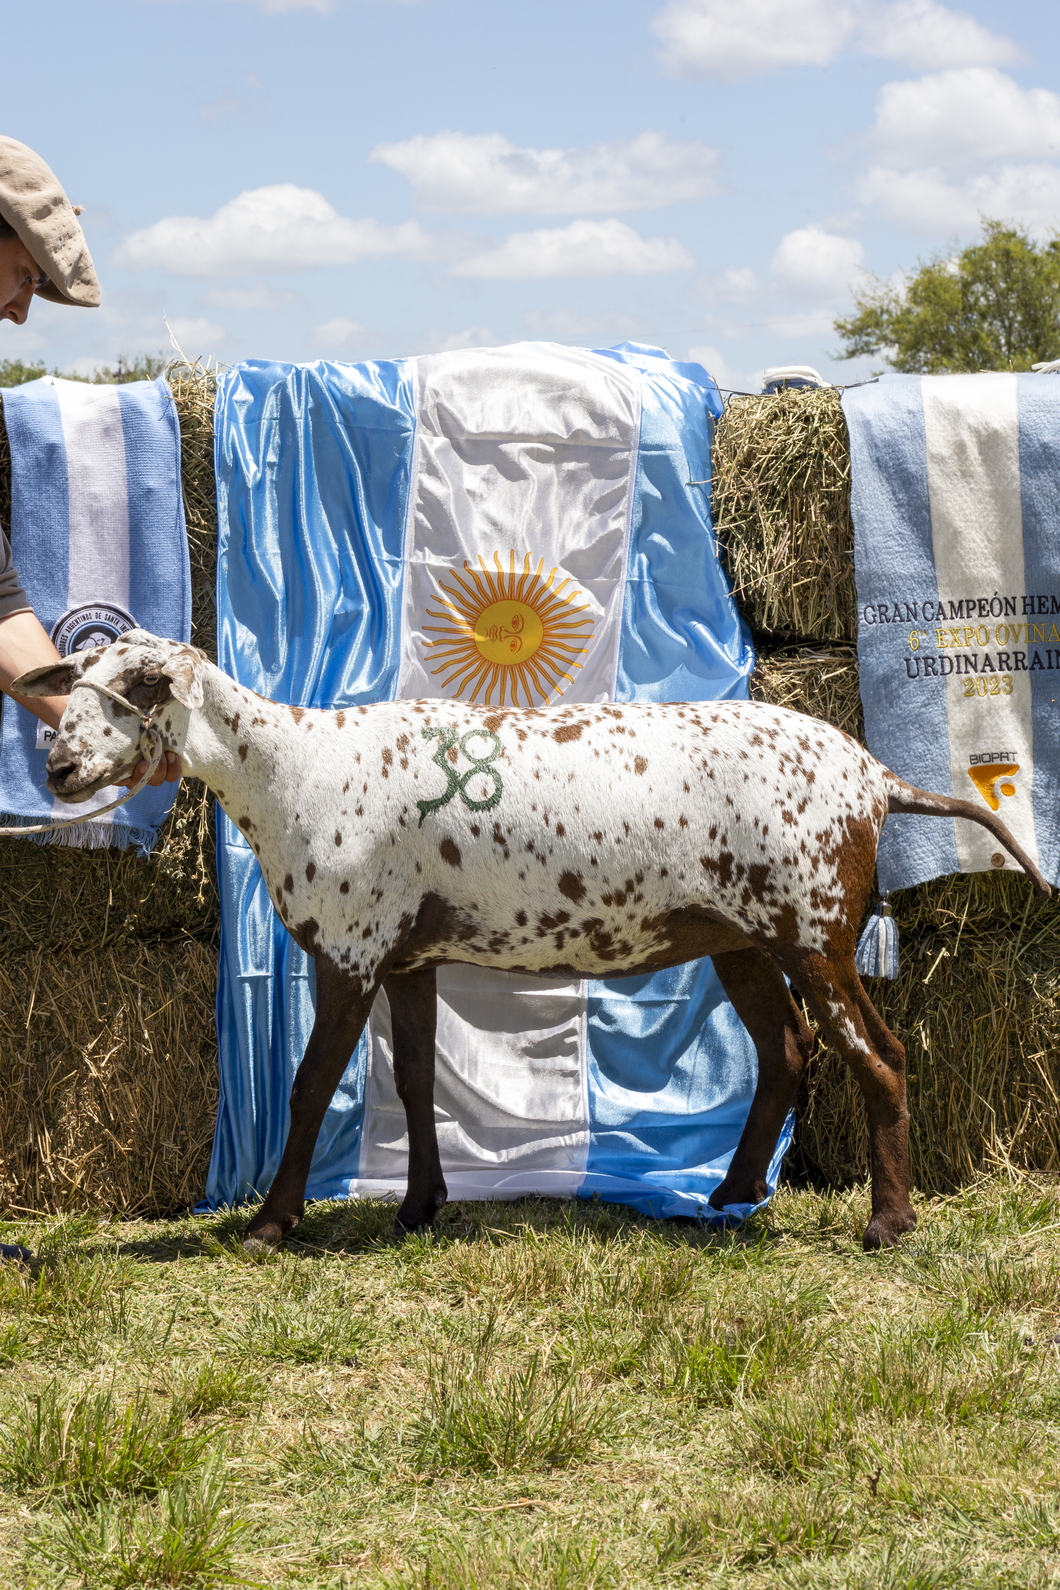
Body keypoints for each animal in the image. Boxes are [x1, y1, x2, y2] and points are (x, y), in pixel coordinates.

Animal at [16, 632, 1055, 1252]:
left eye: (140, 686)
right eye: (73, 685)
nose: (59, 768)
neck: (293, 770)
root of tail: (874, 778)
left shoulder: (352, 948)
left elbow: (312, 1088)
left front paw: (272, 1225)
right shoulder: (410, 956)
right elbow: (416, 1081)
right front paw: (419, 1208)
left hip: (815, 926)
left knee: (877, 1055)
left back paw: (889, 1222)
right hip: (741, 935)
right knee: (787, 1051)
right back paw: (728, 1196)